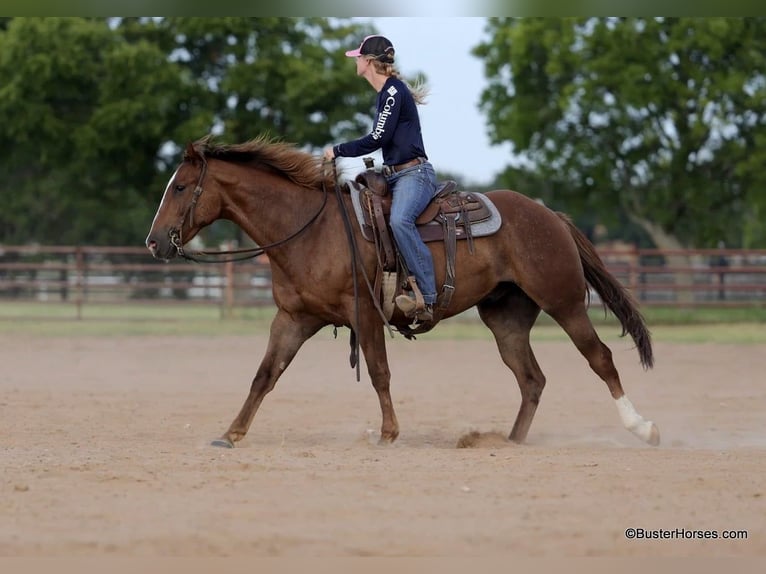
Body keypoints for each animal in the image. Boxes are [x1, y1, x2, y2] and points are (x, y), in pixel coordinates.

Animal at [145, 135, 660, 449]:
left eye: (182, 187)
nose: (153, 242)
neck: (309, 229)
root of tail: (550, 215)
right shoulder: (294, 319)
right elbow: (264, 376)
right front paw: (231, 434)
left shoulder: (365, 315)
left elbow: (379, 374)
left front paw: (389, 433)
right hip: (507, 319)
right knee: (531, 379)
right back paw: (510, 442)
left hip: (564, 302)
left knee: (600, 359)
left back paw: (643, 428)